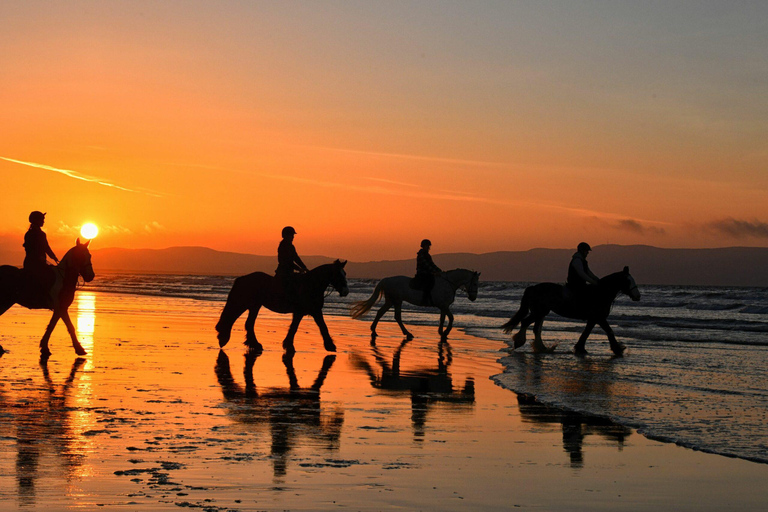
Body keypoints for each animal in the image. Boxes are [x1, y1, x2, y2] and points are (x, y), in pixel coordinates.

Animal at [216, 260, 348, 352]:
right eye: (339, 275)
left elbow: (321, 326)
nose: (346, 291)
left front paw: (330, 346)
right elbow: (297, 328)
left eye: (345, 273)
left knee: (248, 323)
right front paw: (289, 346)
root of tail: (242, 278)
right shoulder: (303, 311)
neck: (311, 285)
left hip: (254, 305)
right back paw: (224, 338)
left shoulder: (314, 311)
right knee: (233, 317)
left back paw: (253, 344)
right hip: (246, 303)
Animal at [350, 268, 480, 340]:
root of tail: (386, 279)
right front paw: (445, 333)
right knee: (397, 316)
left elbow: (443, 319)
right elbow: (451, 318)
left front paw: (441, 332)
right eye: (474, 283)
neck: (448, 283)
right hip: (397, 300)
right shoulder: (443, 306)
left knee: (381, 312)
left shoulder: (444, 306)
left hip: (391, 301)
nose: (473, 298)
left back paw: (374, 330)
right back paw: (407, 333)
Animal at [500, 266, 640, 354]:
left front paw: (580, 348)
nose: (638, 296)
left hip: (541, 312)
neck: (600, 293)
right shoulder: (599, 318)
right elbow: (609, 331)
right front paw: (618, 349)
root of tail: (533, 288)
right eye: (628, 281)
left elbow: (586, 333)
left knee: (535, 328)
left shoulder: (593, 319)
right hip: (539, 312)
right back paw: (520, 342)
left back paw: (542, 348)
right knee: (526, 323)